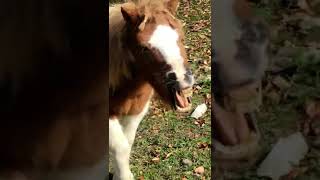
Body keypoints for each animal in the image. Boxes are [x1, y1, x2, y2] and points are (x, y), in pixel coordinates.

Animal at [109, 0, 194, 179]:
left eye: (181, 37)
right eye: (144, 48)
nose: (183, 80)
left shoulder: (135, 112)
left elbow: (127, 143)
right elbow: (120, 148)